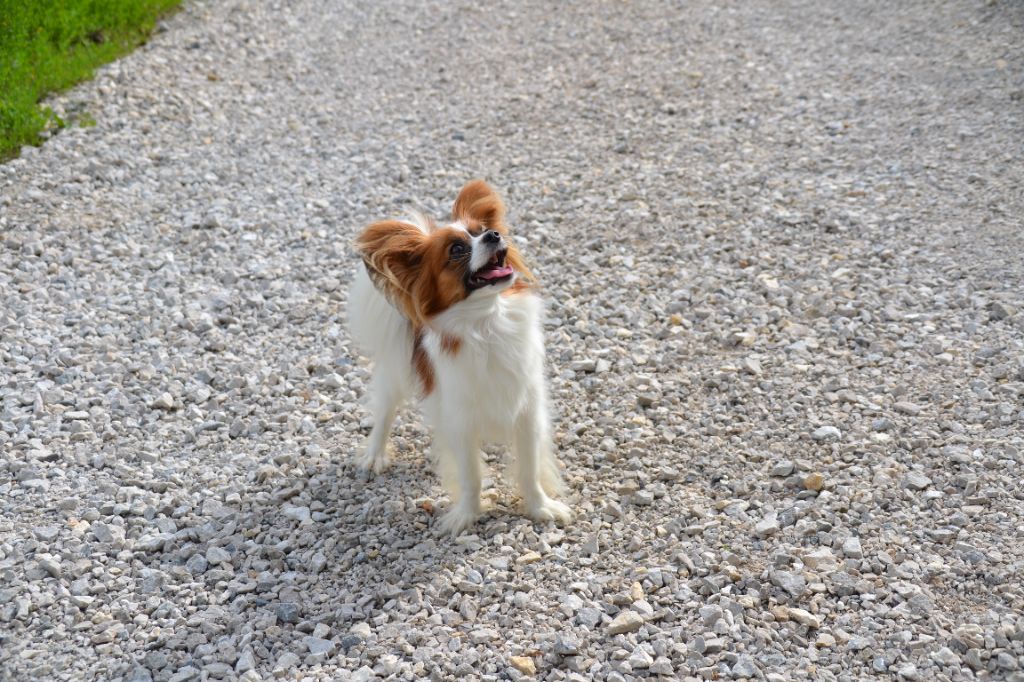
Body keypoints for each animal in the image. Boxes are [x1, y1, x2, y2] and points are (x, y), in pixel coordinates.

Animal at [350, 178, 577, 532]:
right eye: (457, 250)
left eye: (482, 230)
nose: (494, 235)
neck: (488, 323)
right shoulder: (460, 420)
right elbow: (471, 475)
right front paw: (467, 515)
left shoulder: (527, 411)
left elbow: (529, 470)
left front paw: (541, 508)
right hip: (395, 373)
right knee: (385, 411)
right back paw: (375, 454)